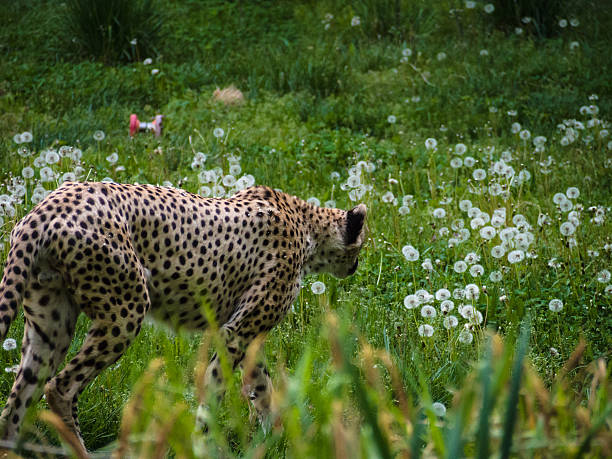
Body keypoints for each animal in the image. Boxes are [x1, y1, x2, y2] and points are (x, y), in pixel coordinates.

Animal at [0, 181, 366, 452]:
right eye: (361, 245)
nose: (356, 266)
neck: (304, 223)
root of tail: (46, 207)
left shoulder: (246, 335)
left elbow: (262, 387)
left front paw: (272, 437)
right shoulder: (235, 333)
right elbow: (216, 391)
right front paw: (204, 442)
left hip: (51, 327)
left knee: (17, 402)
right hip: (126, 311)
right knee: (60, 388)